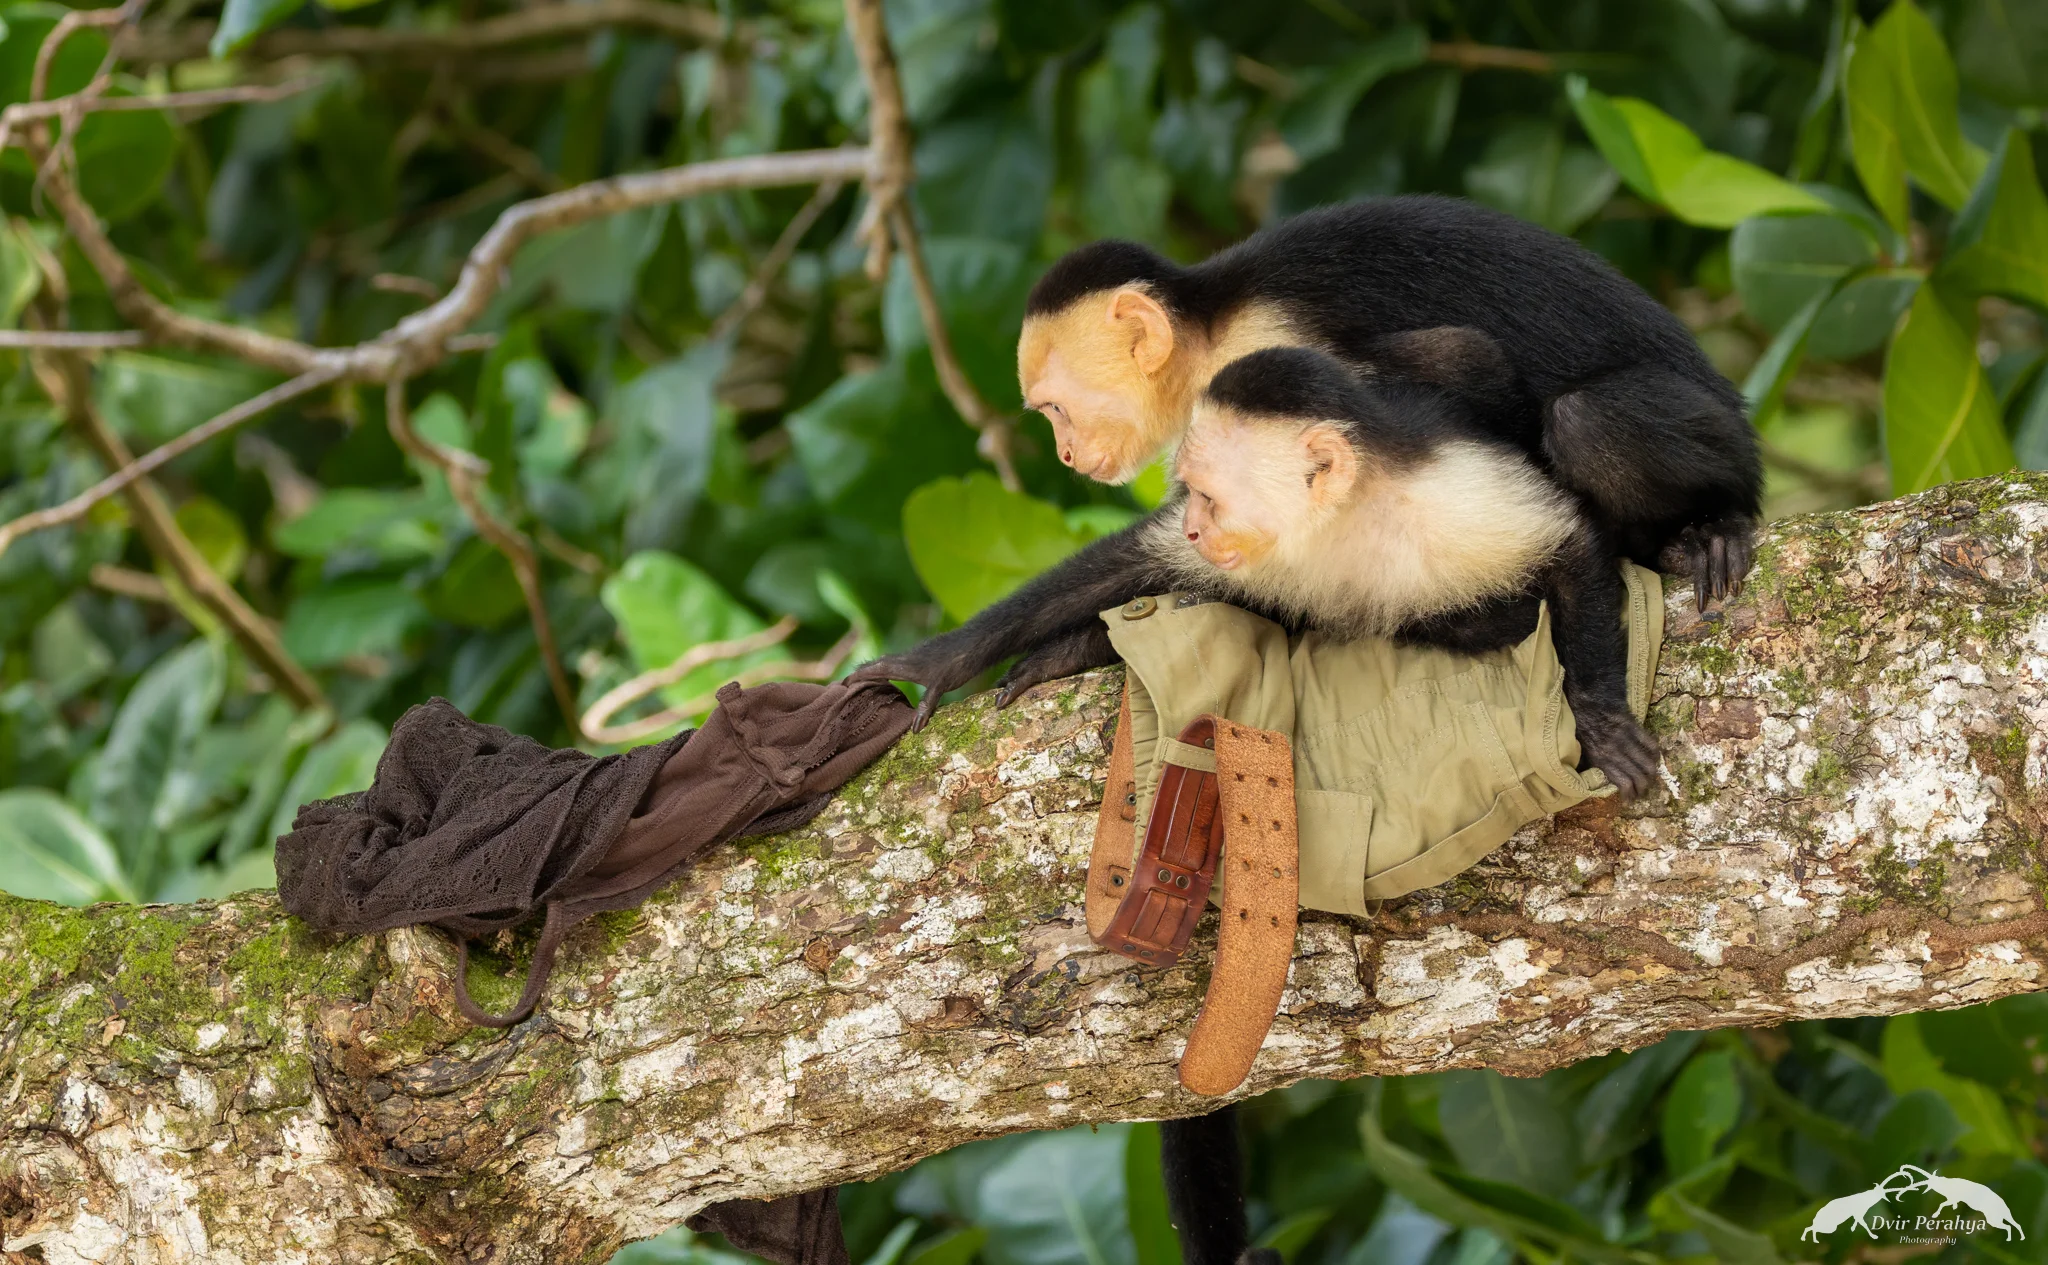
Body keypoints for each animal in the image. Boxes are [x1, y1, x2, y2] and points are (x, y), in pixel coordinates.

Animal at [851, 194, 1761, 726]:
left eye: (1051, 409)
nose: (1067, 450)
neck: (1212, 328)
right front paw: (1017, 654)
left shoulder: (1271, 352)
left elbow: (1467, 370)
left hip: (1715, 430)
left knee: (1584, 422)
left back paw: (1706, 529)